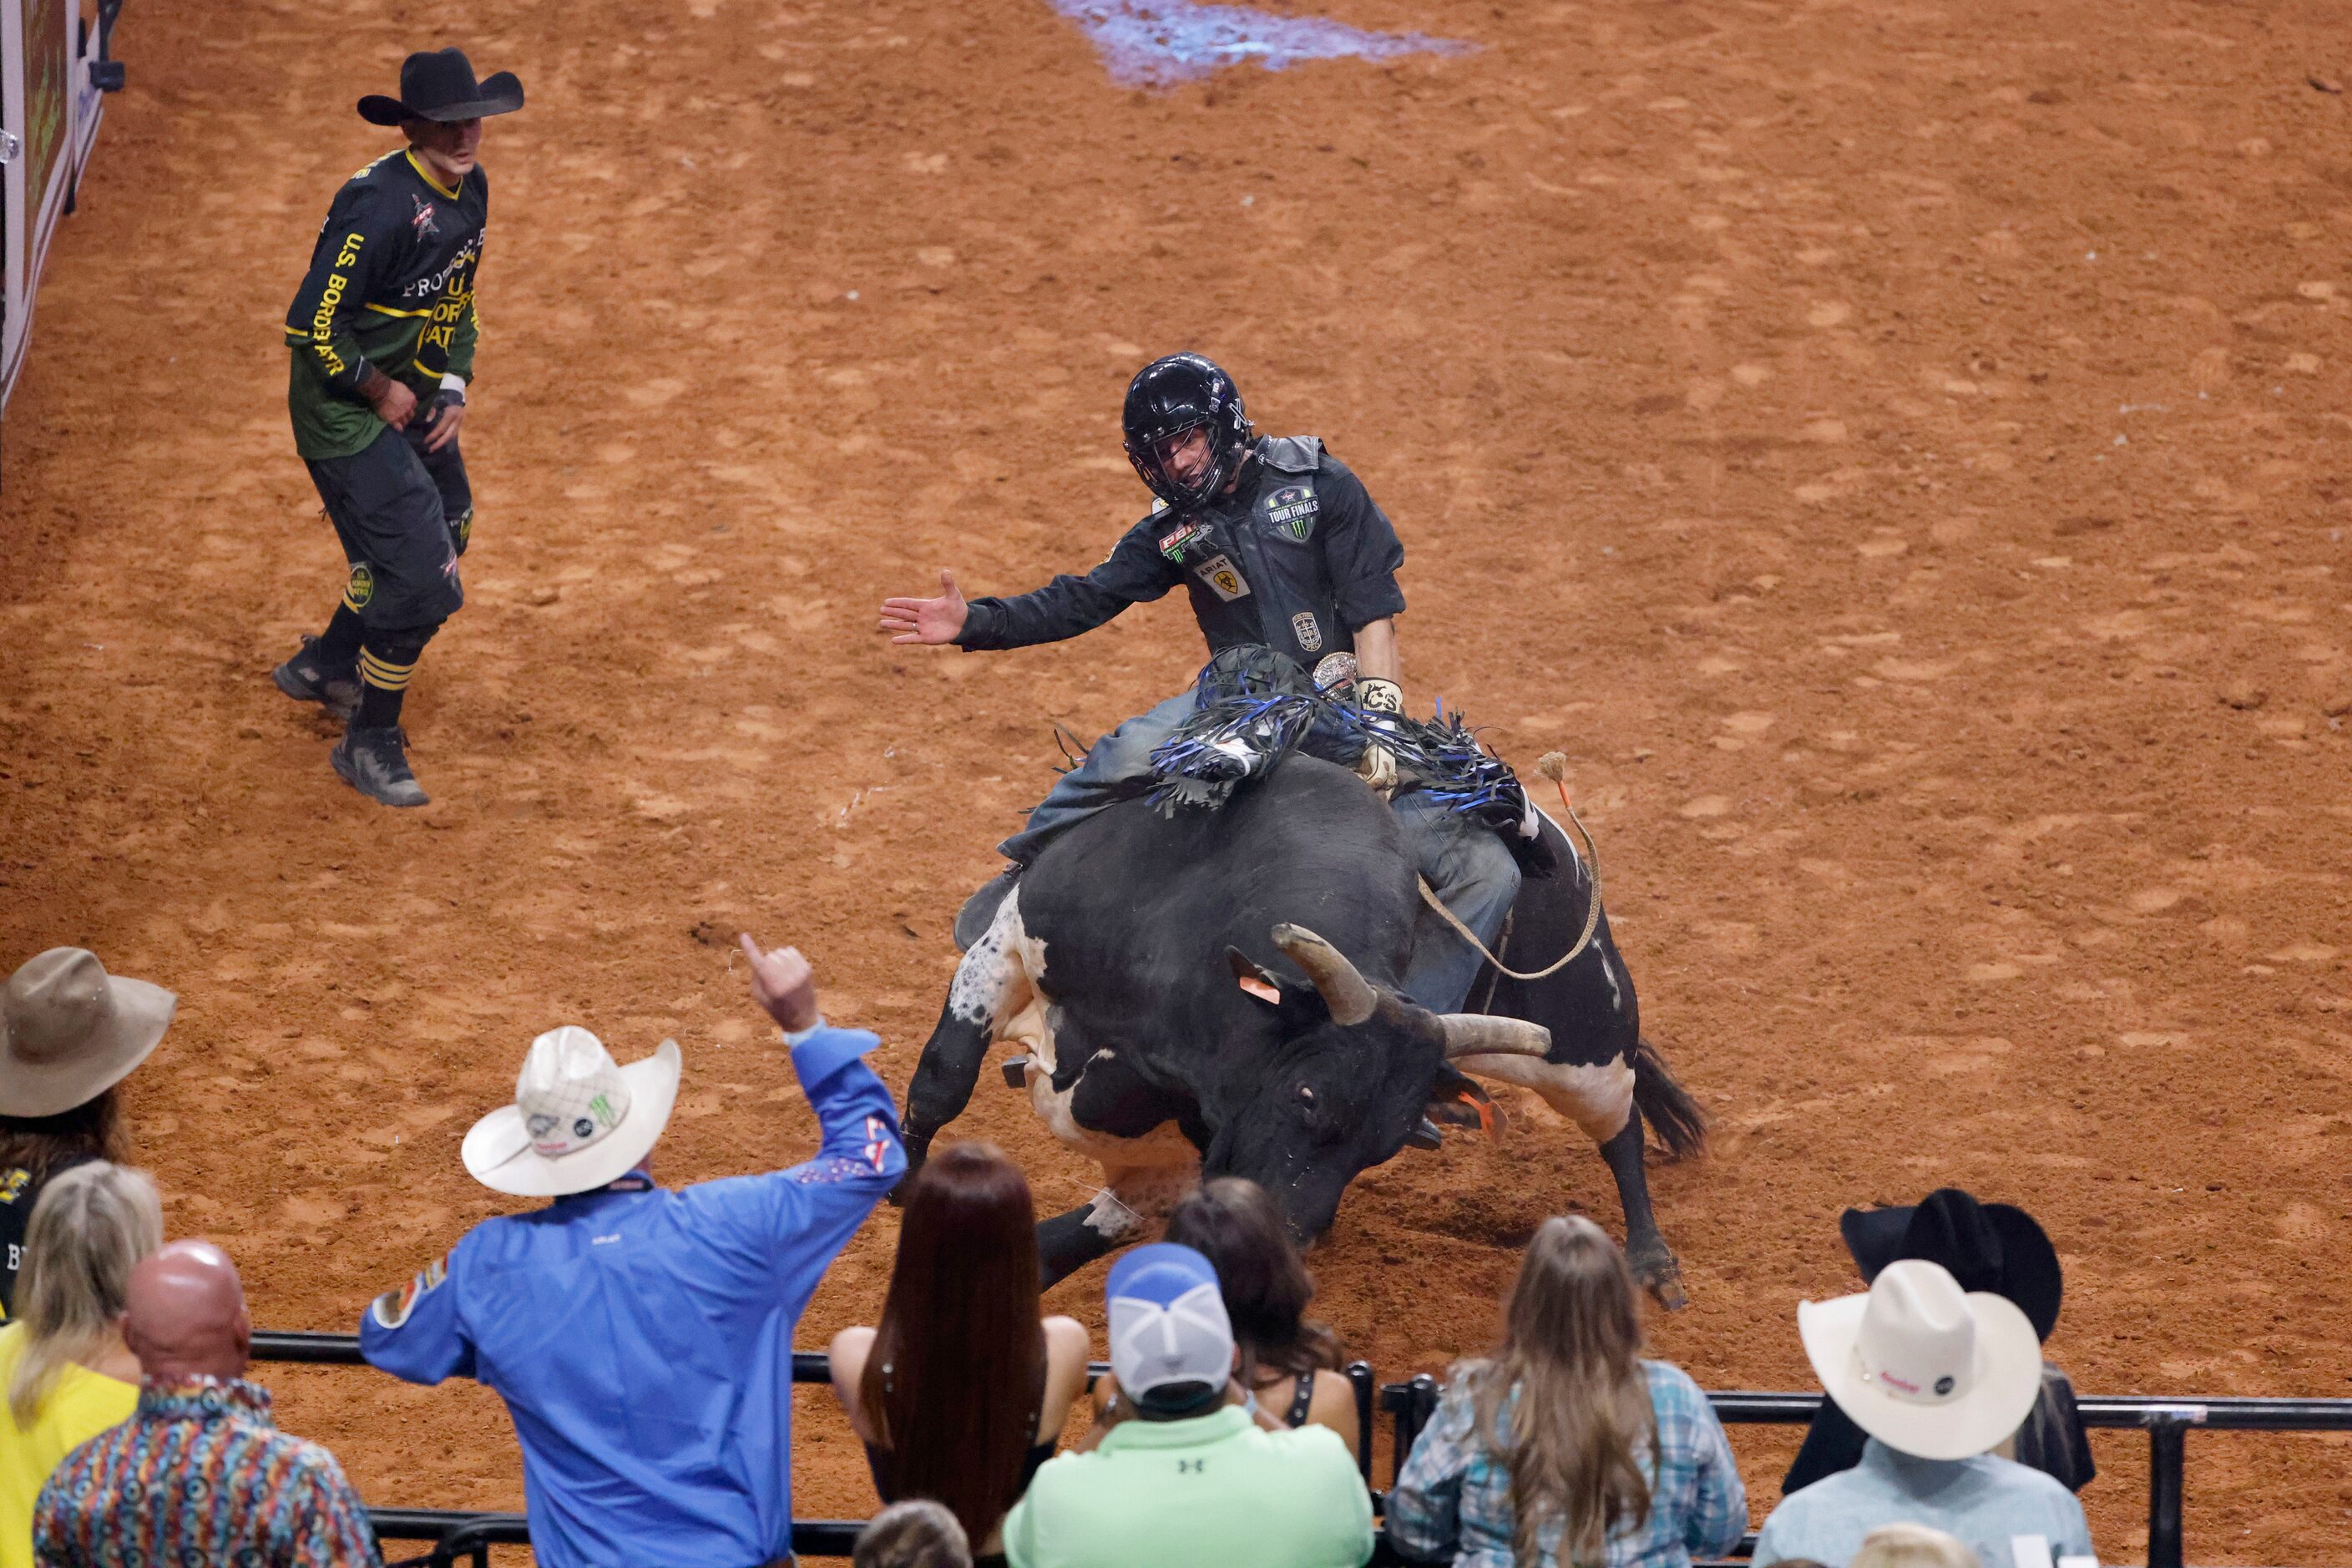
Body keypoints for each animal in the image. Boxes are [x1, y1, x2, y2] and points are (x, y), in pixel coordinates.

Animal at [903, 751, 1712, 1307]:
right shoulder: (1012, 940)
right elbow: (943, 1080)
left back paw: (1650, 1261)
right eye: (1307, 1095)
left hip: (1586, 1040)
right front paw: (904, 1187)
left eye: (1384, 1145)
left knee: (1621, 1130)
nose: (1291, 1239)